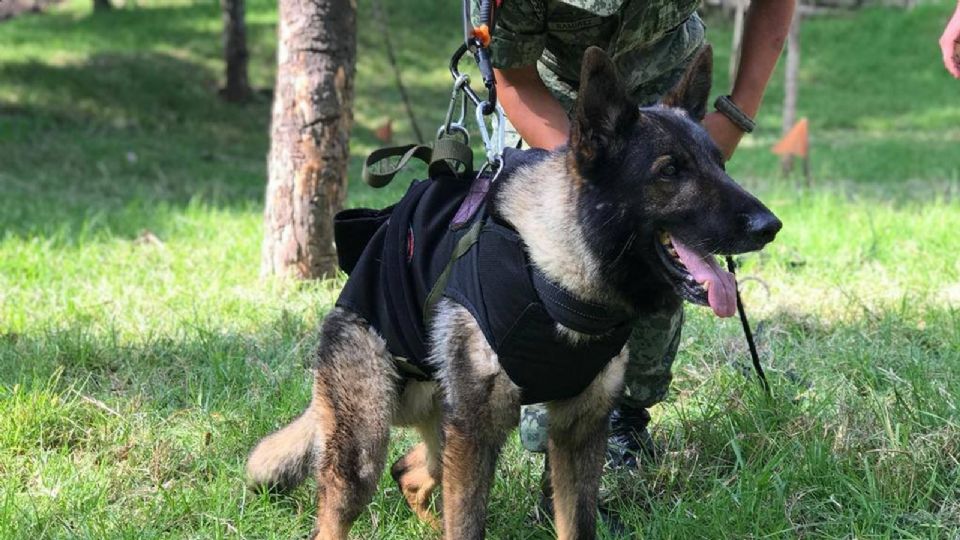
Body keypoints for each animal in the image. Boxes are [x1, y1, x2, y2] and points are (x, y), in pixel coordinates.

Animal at [246, 46, 780, 540]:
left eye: (720, 164)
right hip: (368, 447)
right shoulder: (479, 433)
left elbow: (576, 523)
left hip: (444, 436)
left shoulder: (578, 433)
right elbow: (466, 528)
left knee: (410, 471)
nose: (769, 227)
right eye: (670, 171)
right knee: (352, 501)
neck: (558, 276)